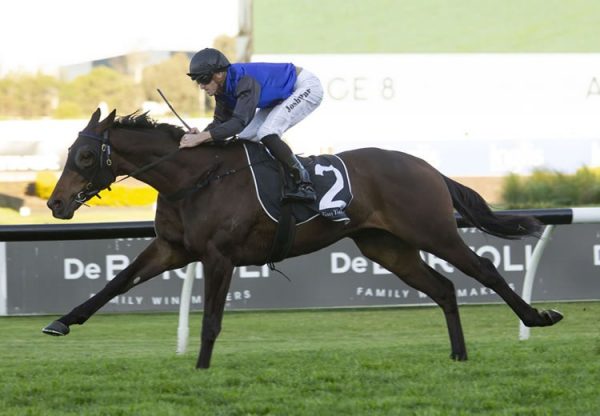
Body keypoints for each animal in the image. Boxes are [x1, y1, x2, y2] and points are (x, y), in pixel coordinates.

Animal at [43, 109, 564, 368]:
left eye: (85, 156)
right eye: (69, 152)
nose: (55, 203)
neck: (195, 179)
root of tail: (427, 167)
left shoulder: (218, 256)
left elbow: (211, 319)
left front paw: (202, 368)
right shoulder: (173, 249)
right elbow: (115, 283)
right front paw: (62, 322)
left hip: (433, 230)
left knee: (485, 270)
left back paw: (538, 317)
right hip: (387, 246)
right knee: (445, 288)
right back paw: (458, 354)